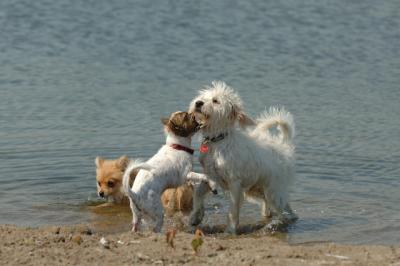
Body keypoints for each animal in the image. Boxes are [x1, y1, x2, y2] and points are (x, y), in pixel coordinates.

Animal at [188, 80, 296, 233]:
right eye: (202, 97)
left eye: (215, 101)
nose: (198, 103)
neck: (218, 141)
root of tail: (283, 146)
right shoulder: (212, 177)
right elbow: (197, 193)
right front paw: (195, 217)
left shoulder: (235, 183)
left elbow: (232, 211)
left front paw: (230, 231)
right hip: (256, 189)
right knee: (279, 206)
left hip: (272, 191)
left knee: (283, 211)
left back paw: (276, 224)